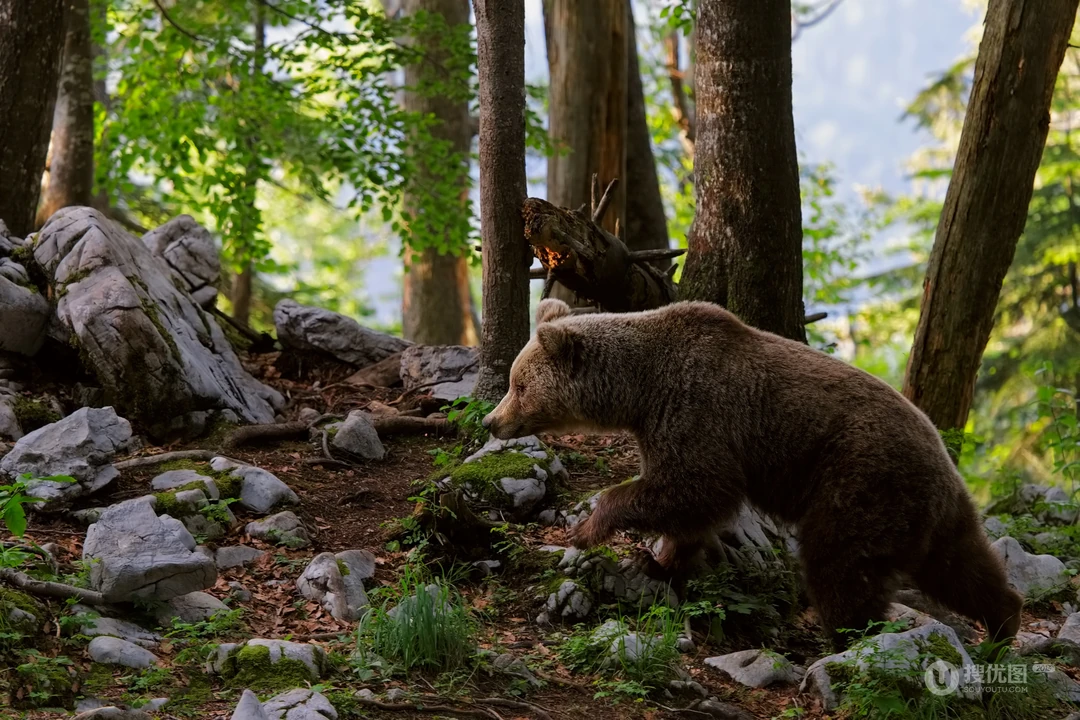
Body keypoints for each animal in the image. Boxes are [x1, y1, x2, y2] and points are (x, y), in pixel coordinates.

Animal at [482, 298, 1023, 648]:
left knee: (840, 565)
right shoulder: (666, 425)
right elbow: (691, 506)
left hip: (860, 481)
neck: (638, 392)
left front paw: (588, 528)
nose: (492, 420)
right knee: (961, 566)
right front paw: (660, 560)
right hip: (932, 510)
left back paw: (846, 643)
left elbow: (694, 486)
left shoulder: (696, 410)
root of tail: (942, 458)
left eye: (518, 384)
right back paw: (1003, 623)